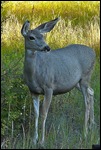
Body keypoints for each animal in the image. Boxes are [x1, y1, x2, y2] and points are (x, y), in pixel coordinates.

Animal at [21, 17, 95, 145]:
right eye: (31, 37)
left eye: (43, 36)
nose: (47, 47)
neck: (34, 74)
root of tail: (94, 52)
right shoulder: (33, 91)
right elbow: (36, 114)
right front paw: (34, 140)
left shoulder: (49, 87)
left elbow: (44, 113)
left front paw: (42, 141)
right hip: (77, 82)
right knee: (91, 92)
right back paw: (91, 125)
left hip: (86, 76)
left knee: (86, 102)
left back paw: (85, 133)